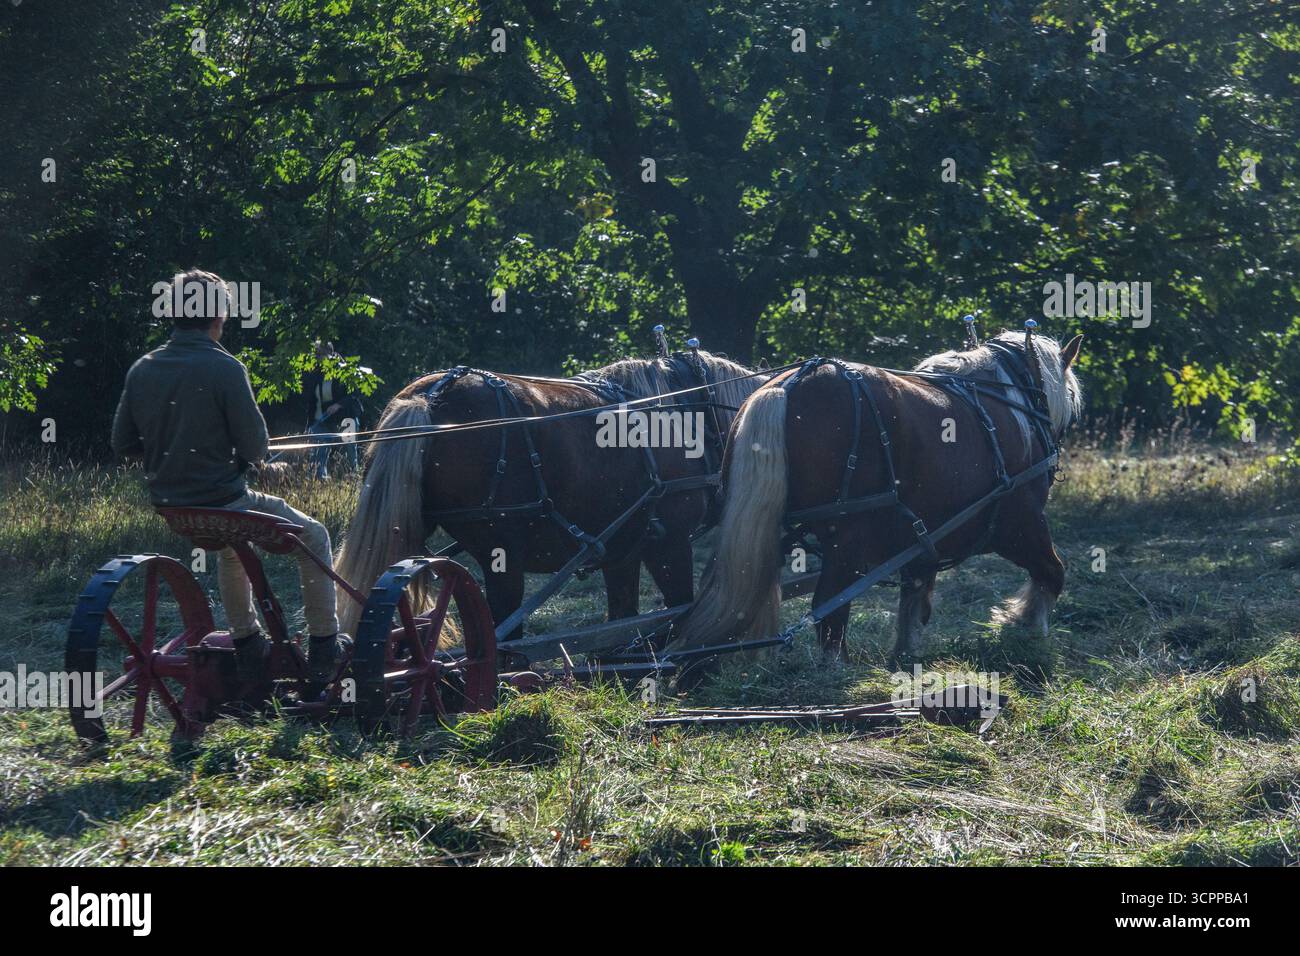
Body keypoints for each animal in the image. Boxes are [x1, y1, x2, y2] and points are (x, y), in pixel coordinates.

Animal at [334, 350, 768, 642]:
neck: (688, 410)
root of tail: (431, 396)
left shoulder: (622, 551)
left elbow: (621, 619)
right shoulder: (669, 543)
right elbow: (679, 608)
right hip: (501, 554)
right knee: (502, 631)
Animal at [667, 329, 1083, 665]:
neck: (1011, 409)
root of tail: (787, 385)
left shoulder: (923, 539)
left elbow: (915, 600)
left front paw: (906, 654)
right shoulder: (1020, 525)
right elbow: (1052, 572)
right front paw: (1029, 632)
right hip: (848, 538)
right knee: (829, 609)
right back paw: (835, 668)